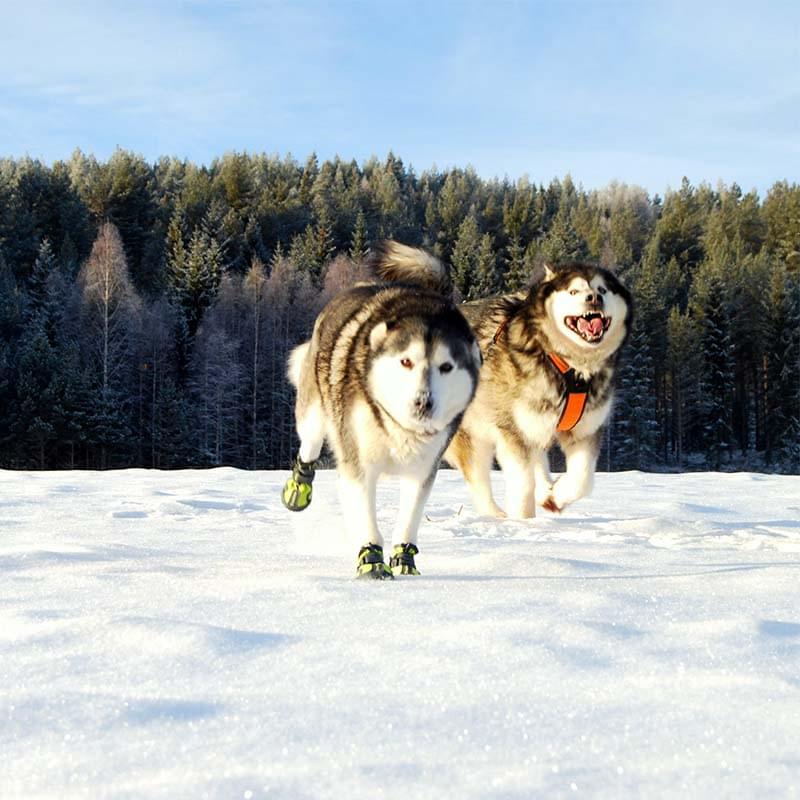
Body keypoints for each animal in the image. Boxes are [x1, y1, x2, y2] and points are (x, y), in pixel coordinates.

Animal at [282, 241, 482, 580]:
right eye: (406, 361)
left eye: (446, 367)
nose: (423, 402)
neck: (400, 428)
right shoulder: (359, 463)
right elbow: (366, 517)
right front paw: (371, 561)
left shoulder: (423, 469)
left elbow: (409, 520)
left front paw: (404, 560)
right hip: (312, 414)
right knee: (308, 446)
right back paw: (298, 487)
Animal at [444, 264, 632, 520]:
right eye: (574, 291)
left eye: (602, 289)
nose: (594, 298)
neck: (570, 369)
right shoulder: (513, 432)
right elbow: (523, 484)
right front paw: (523, 522)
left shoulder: (587, 429)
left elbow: (583, 480)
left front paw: (557, 496)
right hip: (472, 434)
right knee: (479, 480)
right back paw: (496, 515)